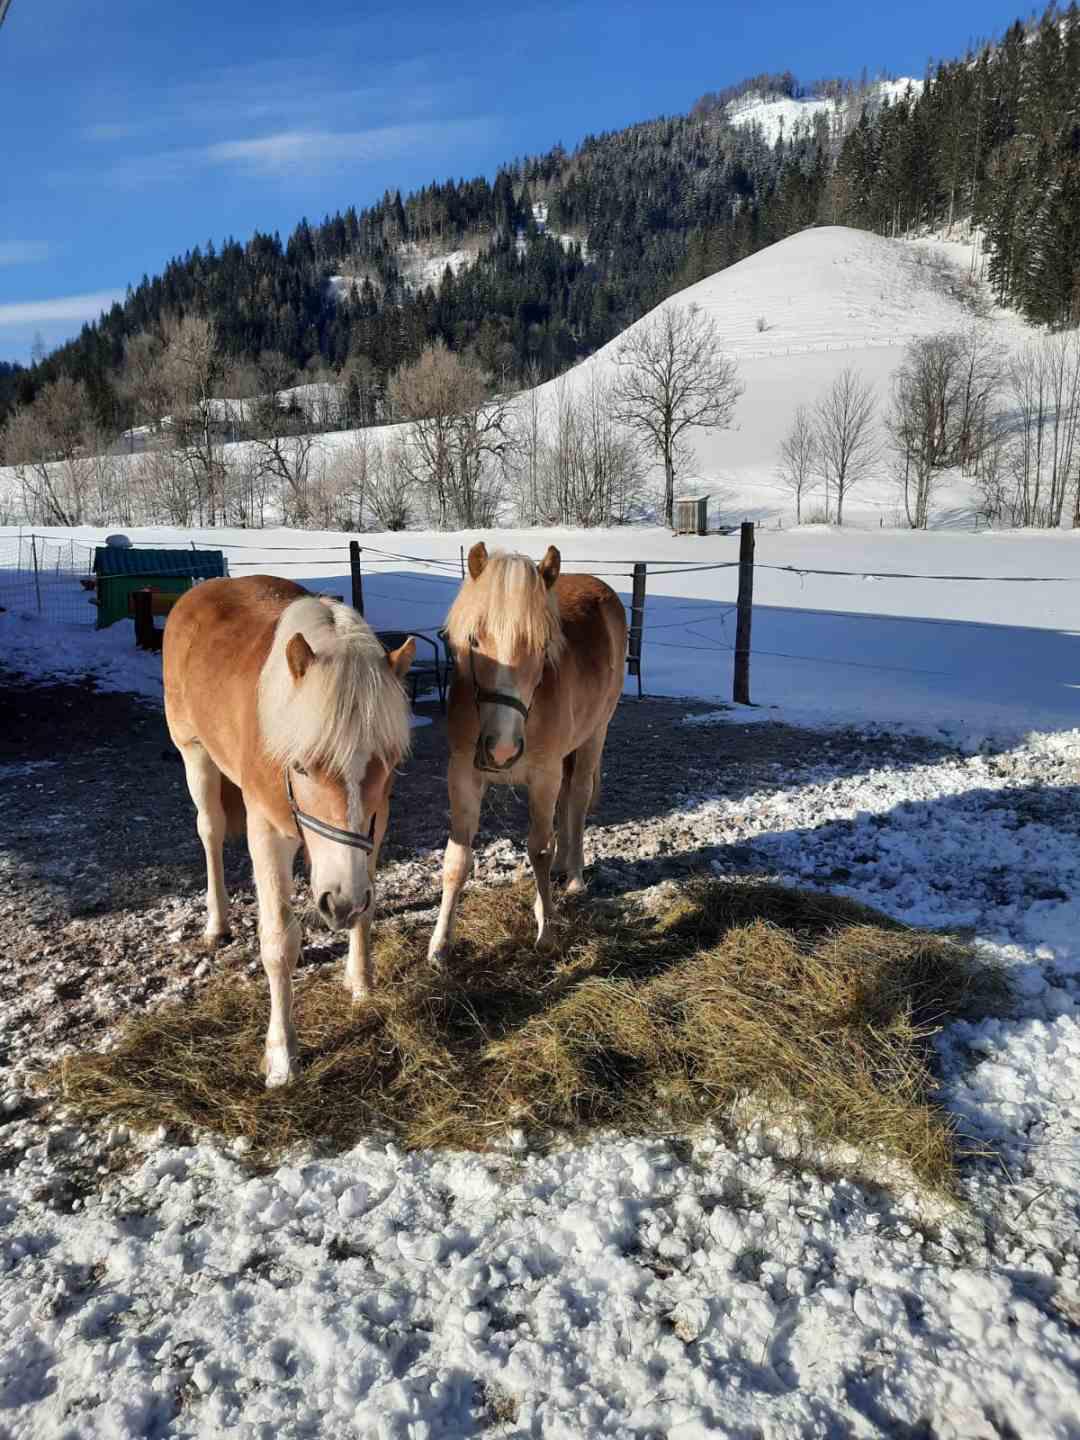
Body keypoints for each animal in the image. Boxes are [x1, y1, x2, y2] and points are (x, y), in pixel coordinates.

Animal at [164, 573, 414, 1082]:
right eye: (301, 766)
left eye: (387, 763)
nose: (340, 903)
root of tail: (199, 588)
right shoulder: (266, 831)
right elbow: (278, 940)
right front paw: (282, 1057)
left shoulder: (375, 826)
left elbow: (367, 909)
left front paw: (361, 984)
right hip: (194, 753)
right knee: (210, 832)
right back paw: (217, 923)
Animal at [426, 544, 622, 961]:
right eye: (474, 639)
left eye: (541, 646)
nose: (501, 749)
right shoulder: (462, 775)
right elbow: (456, 859)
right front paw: (439, 944)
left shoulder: (544, 776)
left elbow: (538, 850)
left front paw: (546, 929)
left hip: (594, 734)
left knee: (577, 799)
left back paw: (575, 877)